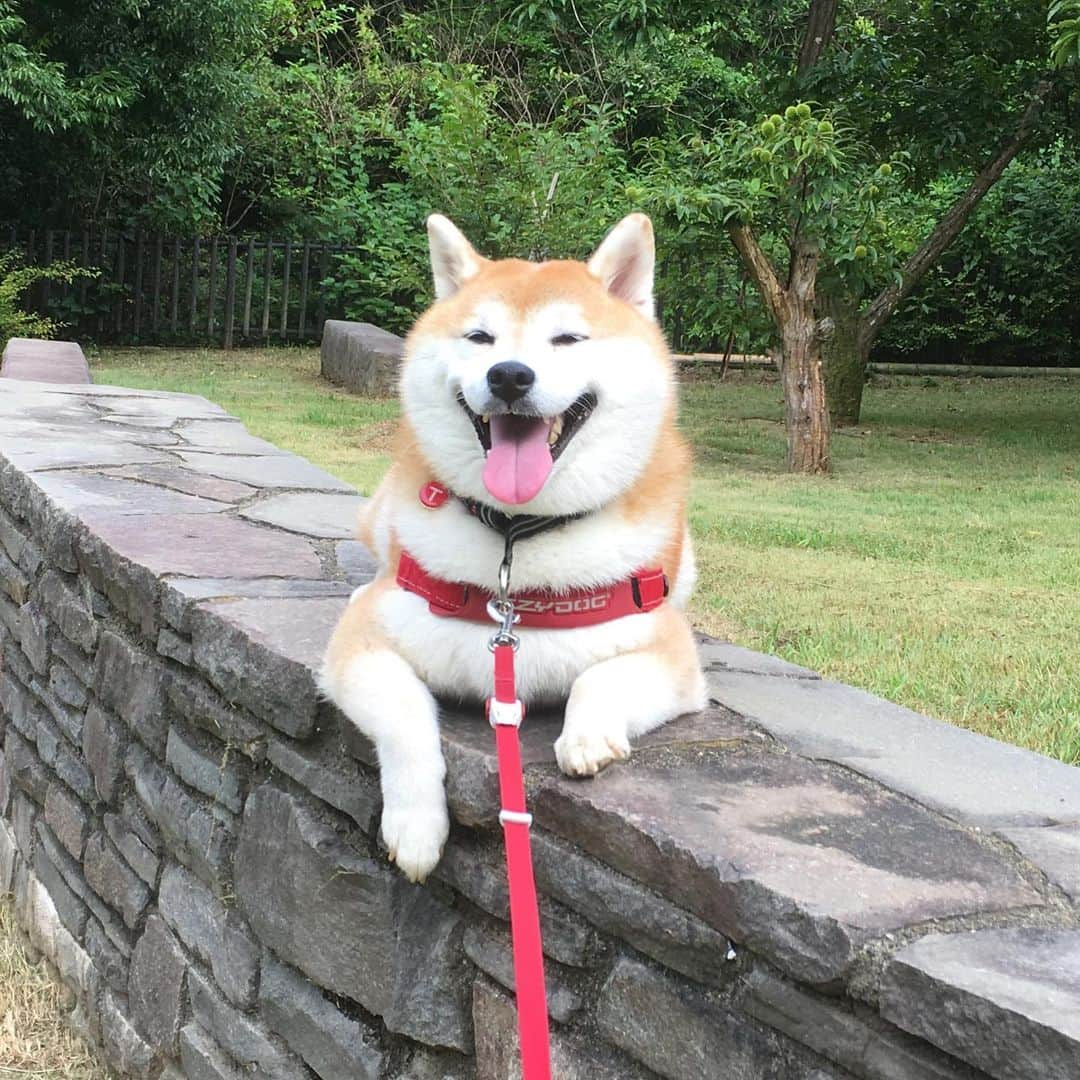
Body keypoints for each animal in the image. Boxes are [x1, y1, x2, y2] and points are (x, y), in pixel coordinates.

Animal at [317, 214, 708, 881]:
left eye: (568, 339)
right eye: (480, 337)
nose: (509, 375)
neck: (516, 536)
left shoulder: (671, 656)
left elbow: (602, 678)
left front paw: (588, 735)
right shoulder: (361, 646)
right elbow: (406, 715)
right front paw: (416, 825)